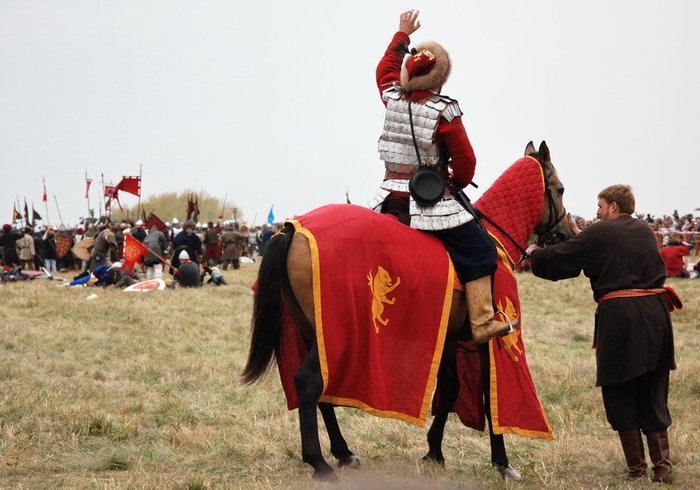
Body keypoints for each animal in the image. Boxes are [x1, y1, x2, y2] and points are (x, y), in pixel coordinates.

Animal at [243, 140, 572, 480]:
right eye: (559, 189)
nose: (567, 234)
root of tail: (292, 229)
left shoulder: (450, 337)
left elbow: (451, 387)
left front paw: (434, 451)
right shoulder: (488, 340)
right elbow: (489, 394)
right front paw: (502, 463)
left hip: (313, 329)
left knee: (322, 392)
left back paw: (343, 453)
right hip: (334, 335)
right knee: (309, 382)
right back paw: (320, 463)